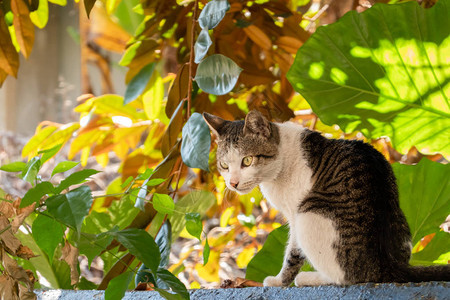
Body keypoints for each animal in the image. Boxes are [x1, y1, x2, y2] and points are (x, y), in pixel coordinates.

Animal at [204, 109, 450, 286]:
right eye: (224, 165)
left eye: (247, 161)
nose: (233, 183)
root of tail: (386, 264)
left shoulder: (294, 216)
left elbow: (292, 254)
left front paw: (279, 281)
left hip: (309, 213)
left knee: (345, 278)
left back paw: (307, 278)